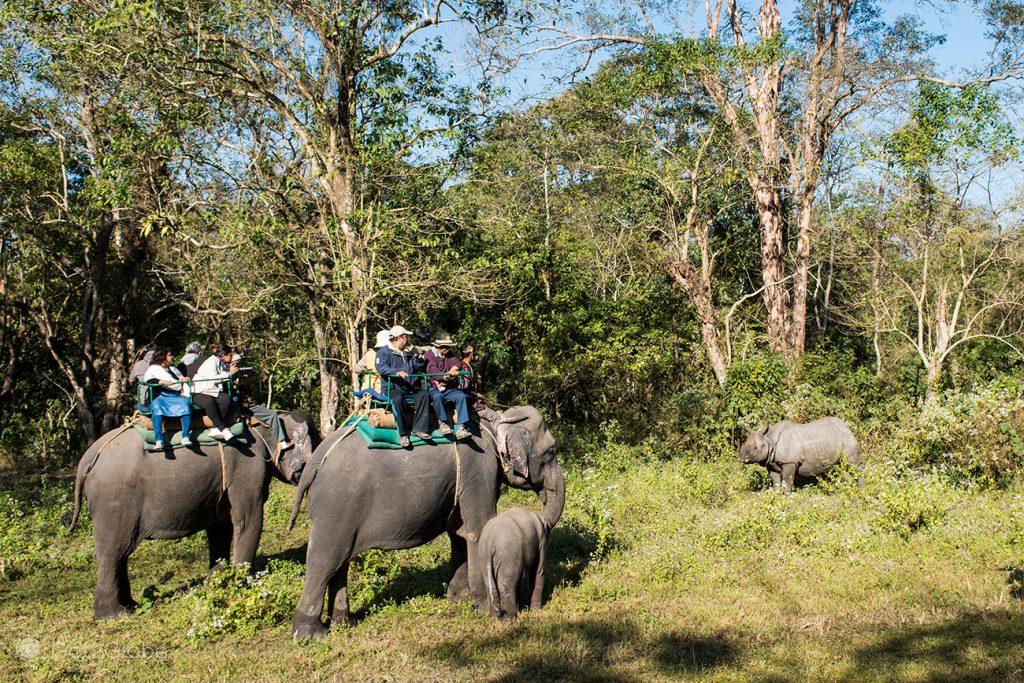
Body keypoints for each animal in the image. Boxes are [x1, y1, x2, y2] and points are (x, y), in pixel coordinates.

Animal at [66, 411, 317, 618]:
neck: (263, 424)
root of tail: (88, 458)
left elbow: (221, 527)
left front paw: (215, 584)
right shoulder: (248, 465)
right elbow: (247, 519)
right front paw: (241, 584)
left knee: (121, 554)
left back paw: (131, 606)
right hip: (113, 500)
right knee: (113, 552)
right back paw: (113, 615)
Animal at [286, 403, 569, 638]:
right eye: (551, 452)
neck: (493, 423)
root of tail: (315, 461)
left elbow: (458, 533)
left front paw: (458, 599)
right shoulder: (480, 465)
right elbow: (478, 527)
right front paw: (484, 608)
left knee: (341, 562)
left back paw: (343, 623)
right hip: (337, 505)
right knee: (324, 561)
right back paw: (311, 634)